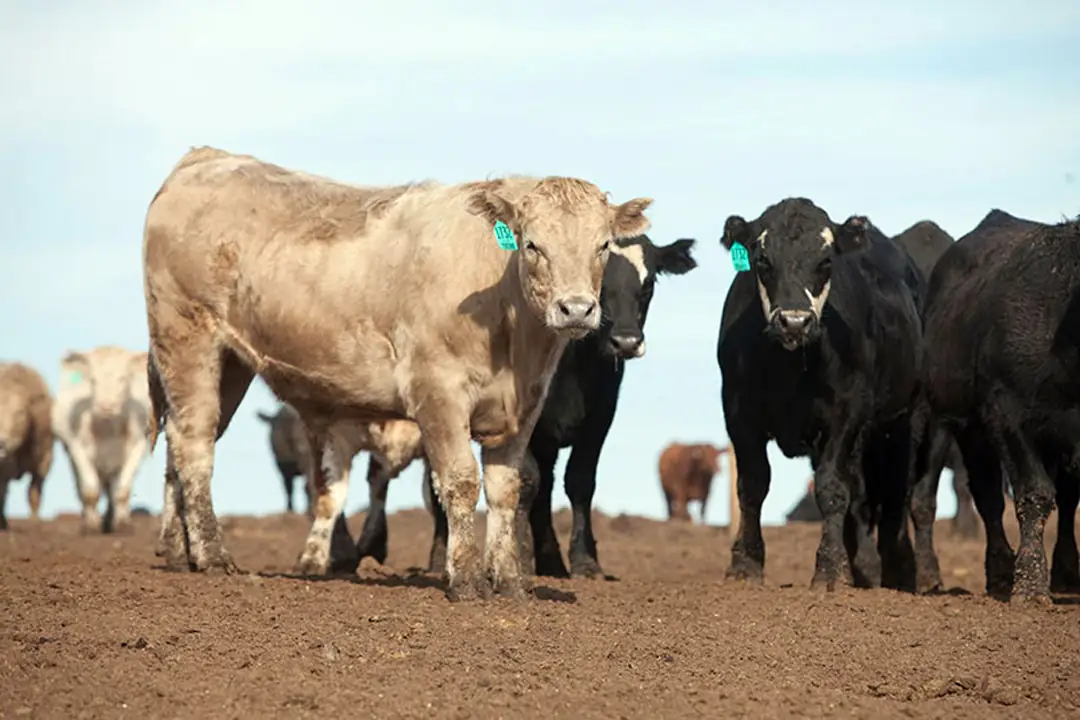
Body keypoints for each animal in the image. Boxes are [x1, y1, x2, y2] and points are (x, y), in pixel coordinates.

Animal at [0, 361, 54, 529]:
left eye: (20, 412)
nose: (1, 442)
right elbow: (2, 492)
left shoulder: (43, 461)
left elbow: (34, 492)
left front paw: (34, 522)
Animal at [51, 345, 151, 534]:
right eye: (93, 379)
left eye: (123, 378)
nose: (106, 406)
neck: (107, 429)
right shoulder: (77, 447)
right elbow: (90, 490)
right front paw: (91, 525)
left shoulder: (138, 446)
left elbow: (122, 490)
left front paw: (122, 524)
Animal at [142, 146, 653, 602]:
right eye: (532, 245)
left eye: (602, 246)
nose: (576, 309)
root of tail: (205, 157)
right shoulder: (438, 393)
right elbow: (460, 481)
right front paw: (466, 581)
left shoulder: (524, 407)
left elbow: (508, 487)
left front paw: (509, 583)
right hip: (187, 339)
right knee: (195, 445)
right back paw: (212, 556)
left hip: (228, 364)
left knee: (181, 440)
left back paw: (177, 552)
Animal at [717, 197, 931, 593]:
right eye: (762, 258)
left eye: (826, 260)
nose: (794, 322)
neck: (790, 369)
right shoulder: (738, 412)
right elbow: (752, 485)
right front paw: (745, 564)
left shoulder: (846, 415)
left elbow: (832, 489)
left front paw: (831, 570)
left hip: (907, 418)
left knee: (894, 492)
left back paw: (896, 571)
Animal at [923, 209, 1080, 603]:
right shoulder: (1008, 412)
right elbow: (1034, 493)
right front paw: (1029, 585)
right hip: (970, 428)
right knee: (988, 498)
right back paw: (999, 573)